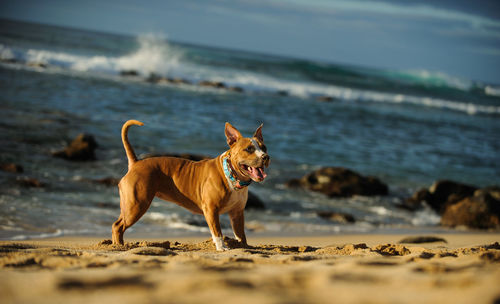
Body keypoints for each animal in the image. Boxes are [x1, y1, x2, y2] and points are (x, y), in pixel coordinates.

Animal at [113, 120, 270, 251]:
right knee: (118, 226)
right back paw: (119, 246)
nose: (266, 157)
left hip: (132, 204)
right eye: (249, 149)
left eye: (264, 148)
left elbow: (241, 234)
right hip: (137, 205)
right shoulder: (211, 210)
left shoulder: (237, 213)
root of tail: (136, 163)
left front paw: (244, 247)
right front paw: (222, 247)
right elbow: (217, 231)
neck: (231, 175)